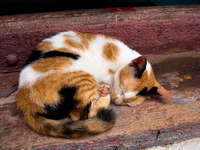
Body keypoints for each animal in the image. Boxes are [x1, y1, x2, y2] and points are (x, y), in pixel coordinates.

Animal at [16, 30, 171, 138]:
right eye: (121, 89)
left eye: (127, 103)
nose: (117, 100)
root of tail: (25, 104)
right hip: (83, 75)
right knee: (81, 115)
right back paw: (103, 92)